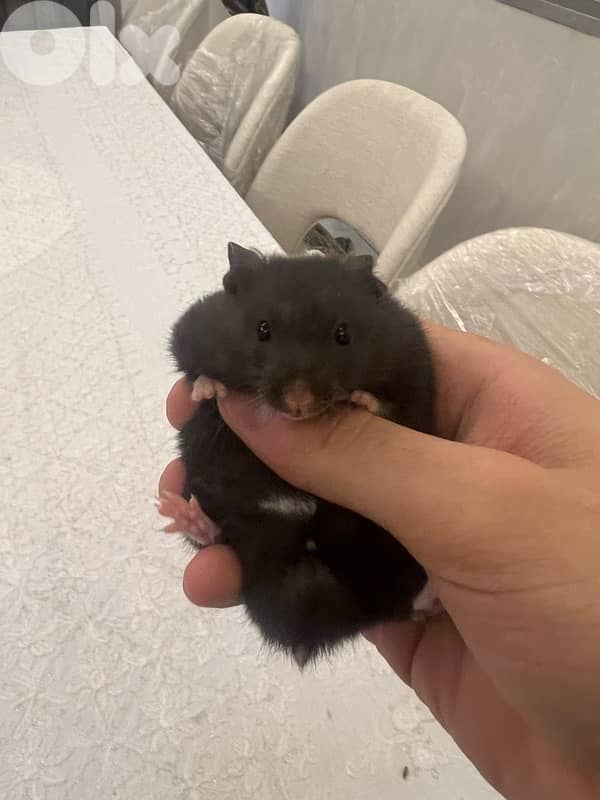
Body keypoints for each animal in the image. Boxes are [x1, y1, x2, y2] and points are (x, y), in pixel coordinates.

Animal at [164, 242, 436, 667]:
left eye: (343, 334)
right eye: (262, 329)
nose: (298, 403)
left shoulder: (415, 368)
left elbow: (394, 409)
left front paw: (360, 402)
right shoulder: (191, 331)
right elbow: (194, 375)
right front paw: (212, 390)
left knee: (400, 601)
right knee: (215, 536)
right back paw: (183, 513)